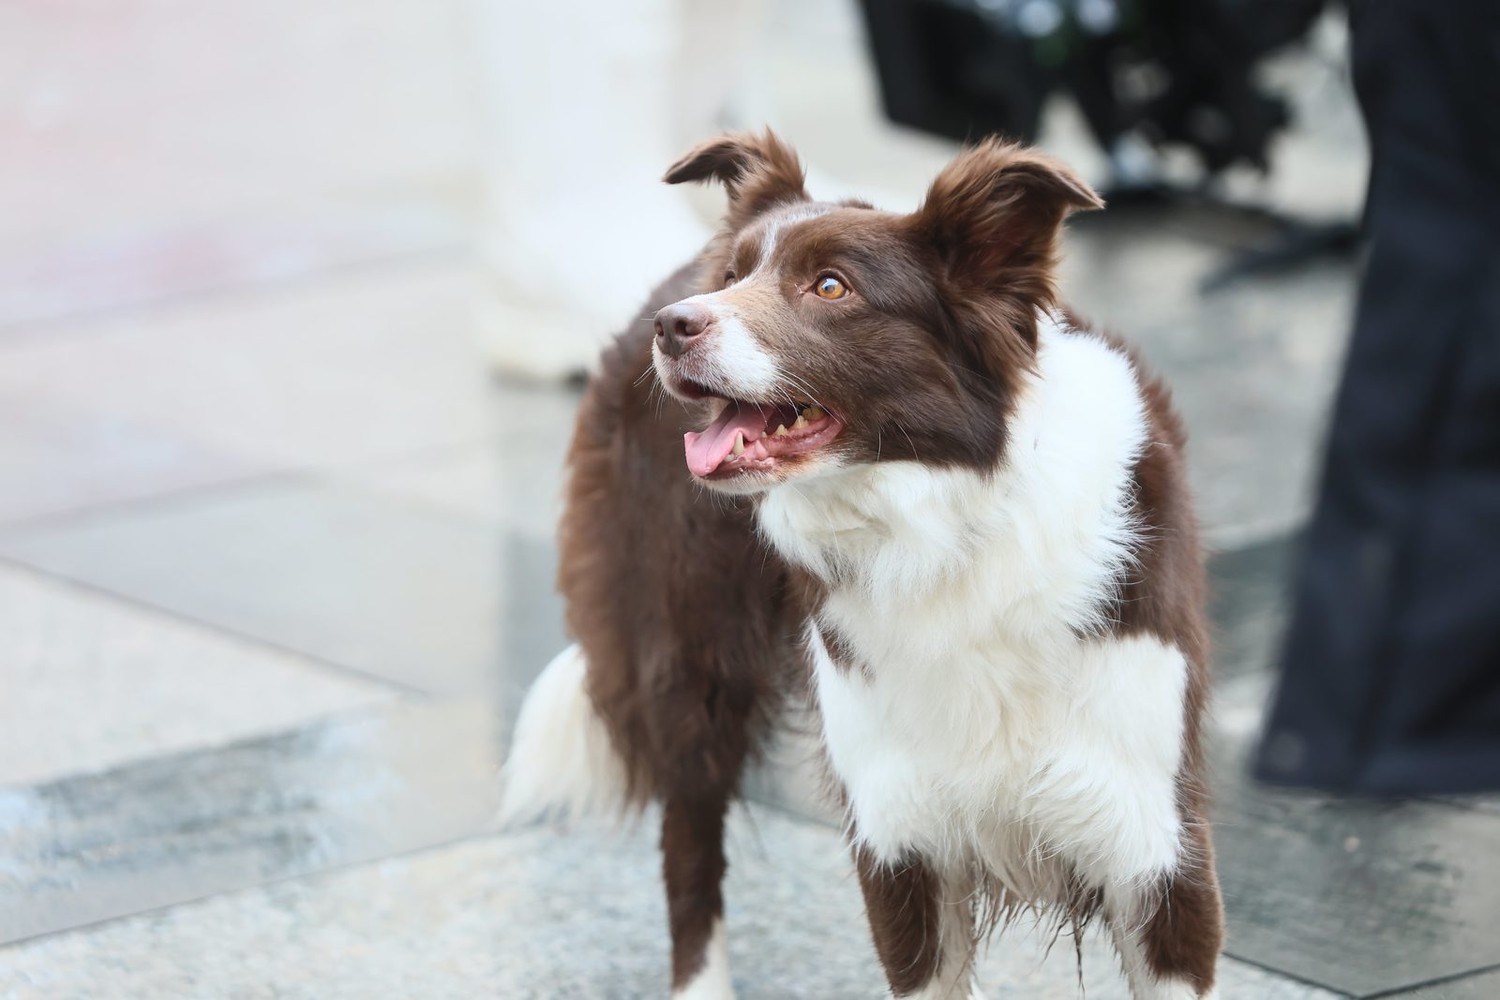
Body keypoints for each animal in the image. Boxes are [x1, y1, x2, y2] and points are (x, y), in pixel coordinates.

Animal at [498, 132, 1224, 1000]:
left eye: (831, 287)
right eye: (735, 275)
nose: (674, 328)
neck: (942, 530)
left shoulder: (1153, 843)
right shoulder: (901, 840)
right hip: (687, 657)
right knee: (689, 843)